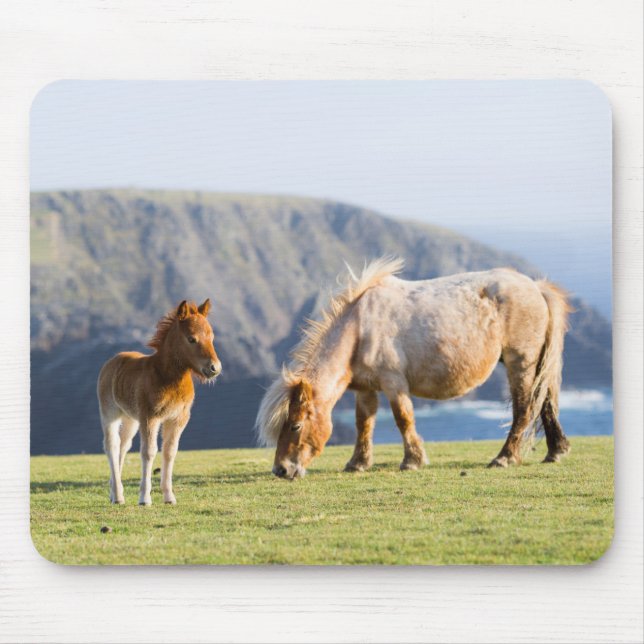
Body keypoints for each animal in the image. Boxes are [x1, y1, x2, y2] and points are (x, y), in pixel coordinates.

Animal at [97, 299, 221, 505]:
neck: (166, 376)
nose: (214, 368)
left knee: (124, 445)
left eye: (212, 337)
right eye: (191, 339)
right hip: (110, 413)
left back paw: (115, 493)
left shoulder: (178, 419)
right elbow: (149, 452)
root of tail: (112, 361)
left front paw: (169, 496)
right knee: (112, 446)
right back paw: (118, 496)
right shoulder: (150, 417)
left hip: (131, 419)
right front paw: (144, 498)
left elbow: (169, 451)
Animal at [255, 257, 572, 479]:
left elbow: (403, 419)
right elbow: (364, 423)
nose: (281, 470)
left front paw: (412, 461)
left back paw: (504, 457)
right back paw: (555, 451)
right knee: (544, 401)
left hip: (521, 362)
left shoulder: (394, 383)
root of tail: (535, 287)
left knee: (525, 408)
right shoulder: (365, 389)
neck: (360, 328)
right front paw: (357, 463)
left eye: (295, 425)